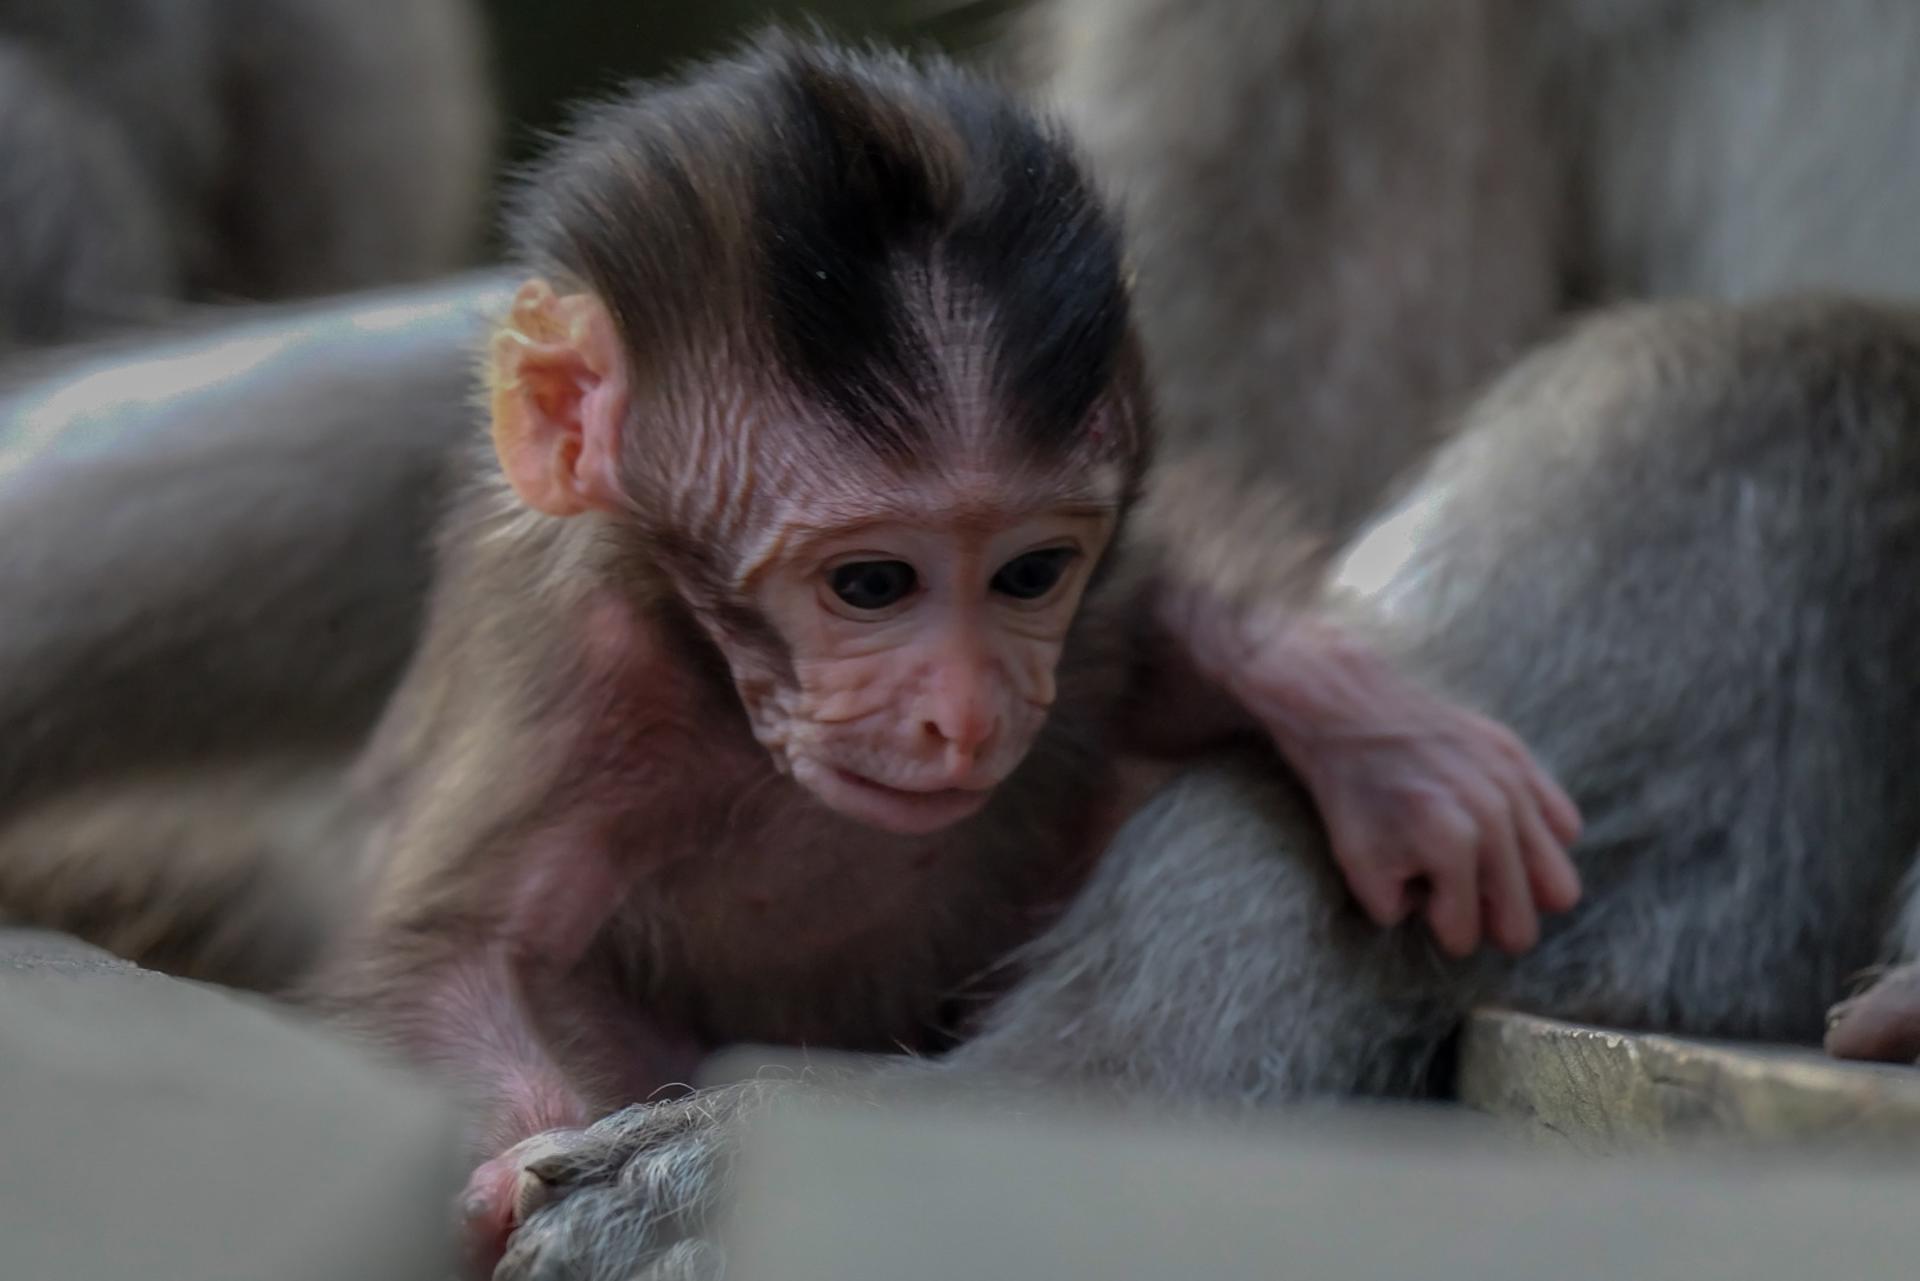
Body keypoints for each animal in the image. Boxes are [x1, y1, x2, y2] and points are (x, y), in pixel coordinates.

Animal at [293, 32, 1583, 1272]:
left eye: (1029, 573)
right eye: (871, 585)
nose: (963, 716)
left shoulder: (1081, 635)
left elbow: (1155, 623)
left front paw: (1378, 736)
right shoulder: (578, 679)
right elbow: (465, 953)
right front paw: (523, 1171)